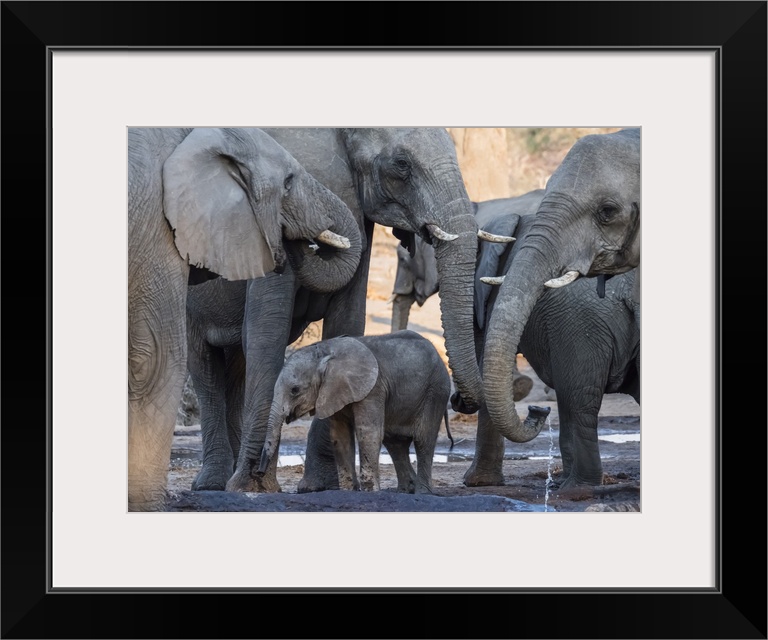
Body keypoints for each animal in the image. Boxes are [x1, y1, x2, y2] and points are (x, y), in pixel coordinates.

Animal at [258, 330, 452, 496]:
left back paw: (423, 493)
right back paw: (405, 491)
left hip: (436, 390)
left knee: (423, 440)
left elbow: (368, 432)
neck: (325, 351)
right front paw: (349, 491)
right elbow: (340, 437)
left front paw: (370, 492)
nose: (259, 472)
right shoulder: (334, 392)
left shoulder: (373, 389)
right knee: (395, 443)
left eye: (295, 390)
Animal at [460, 127, 644, 488]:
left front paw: (476, 483)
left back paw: (577, 488)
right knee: (578, 400)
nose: (537, 411)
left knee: (579, 399)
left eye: (607, 211)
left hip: (580, 327)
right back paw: (574, 486)